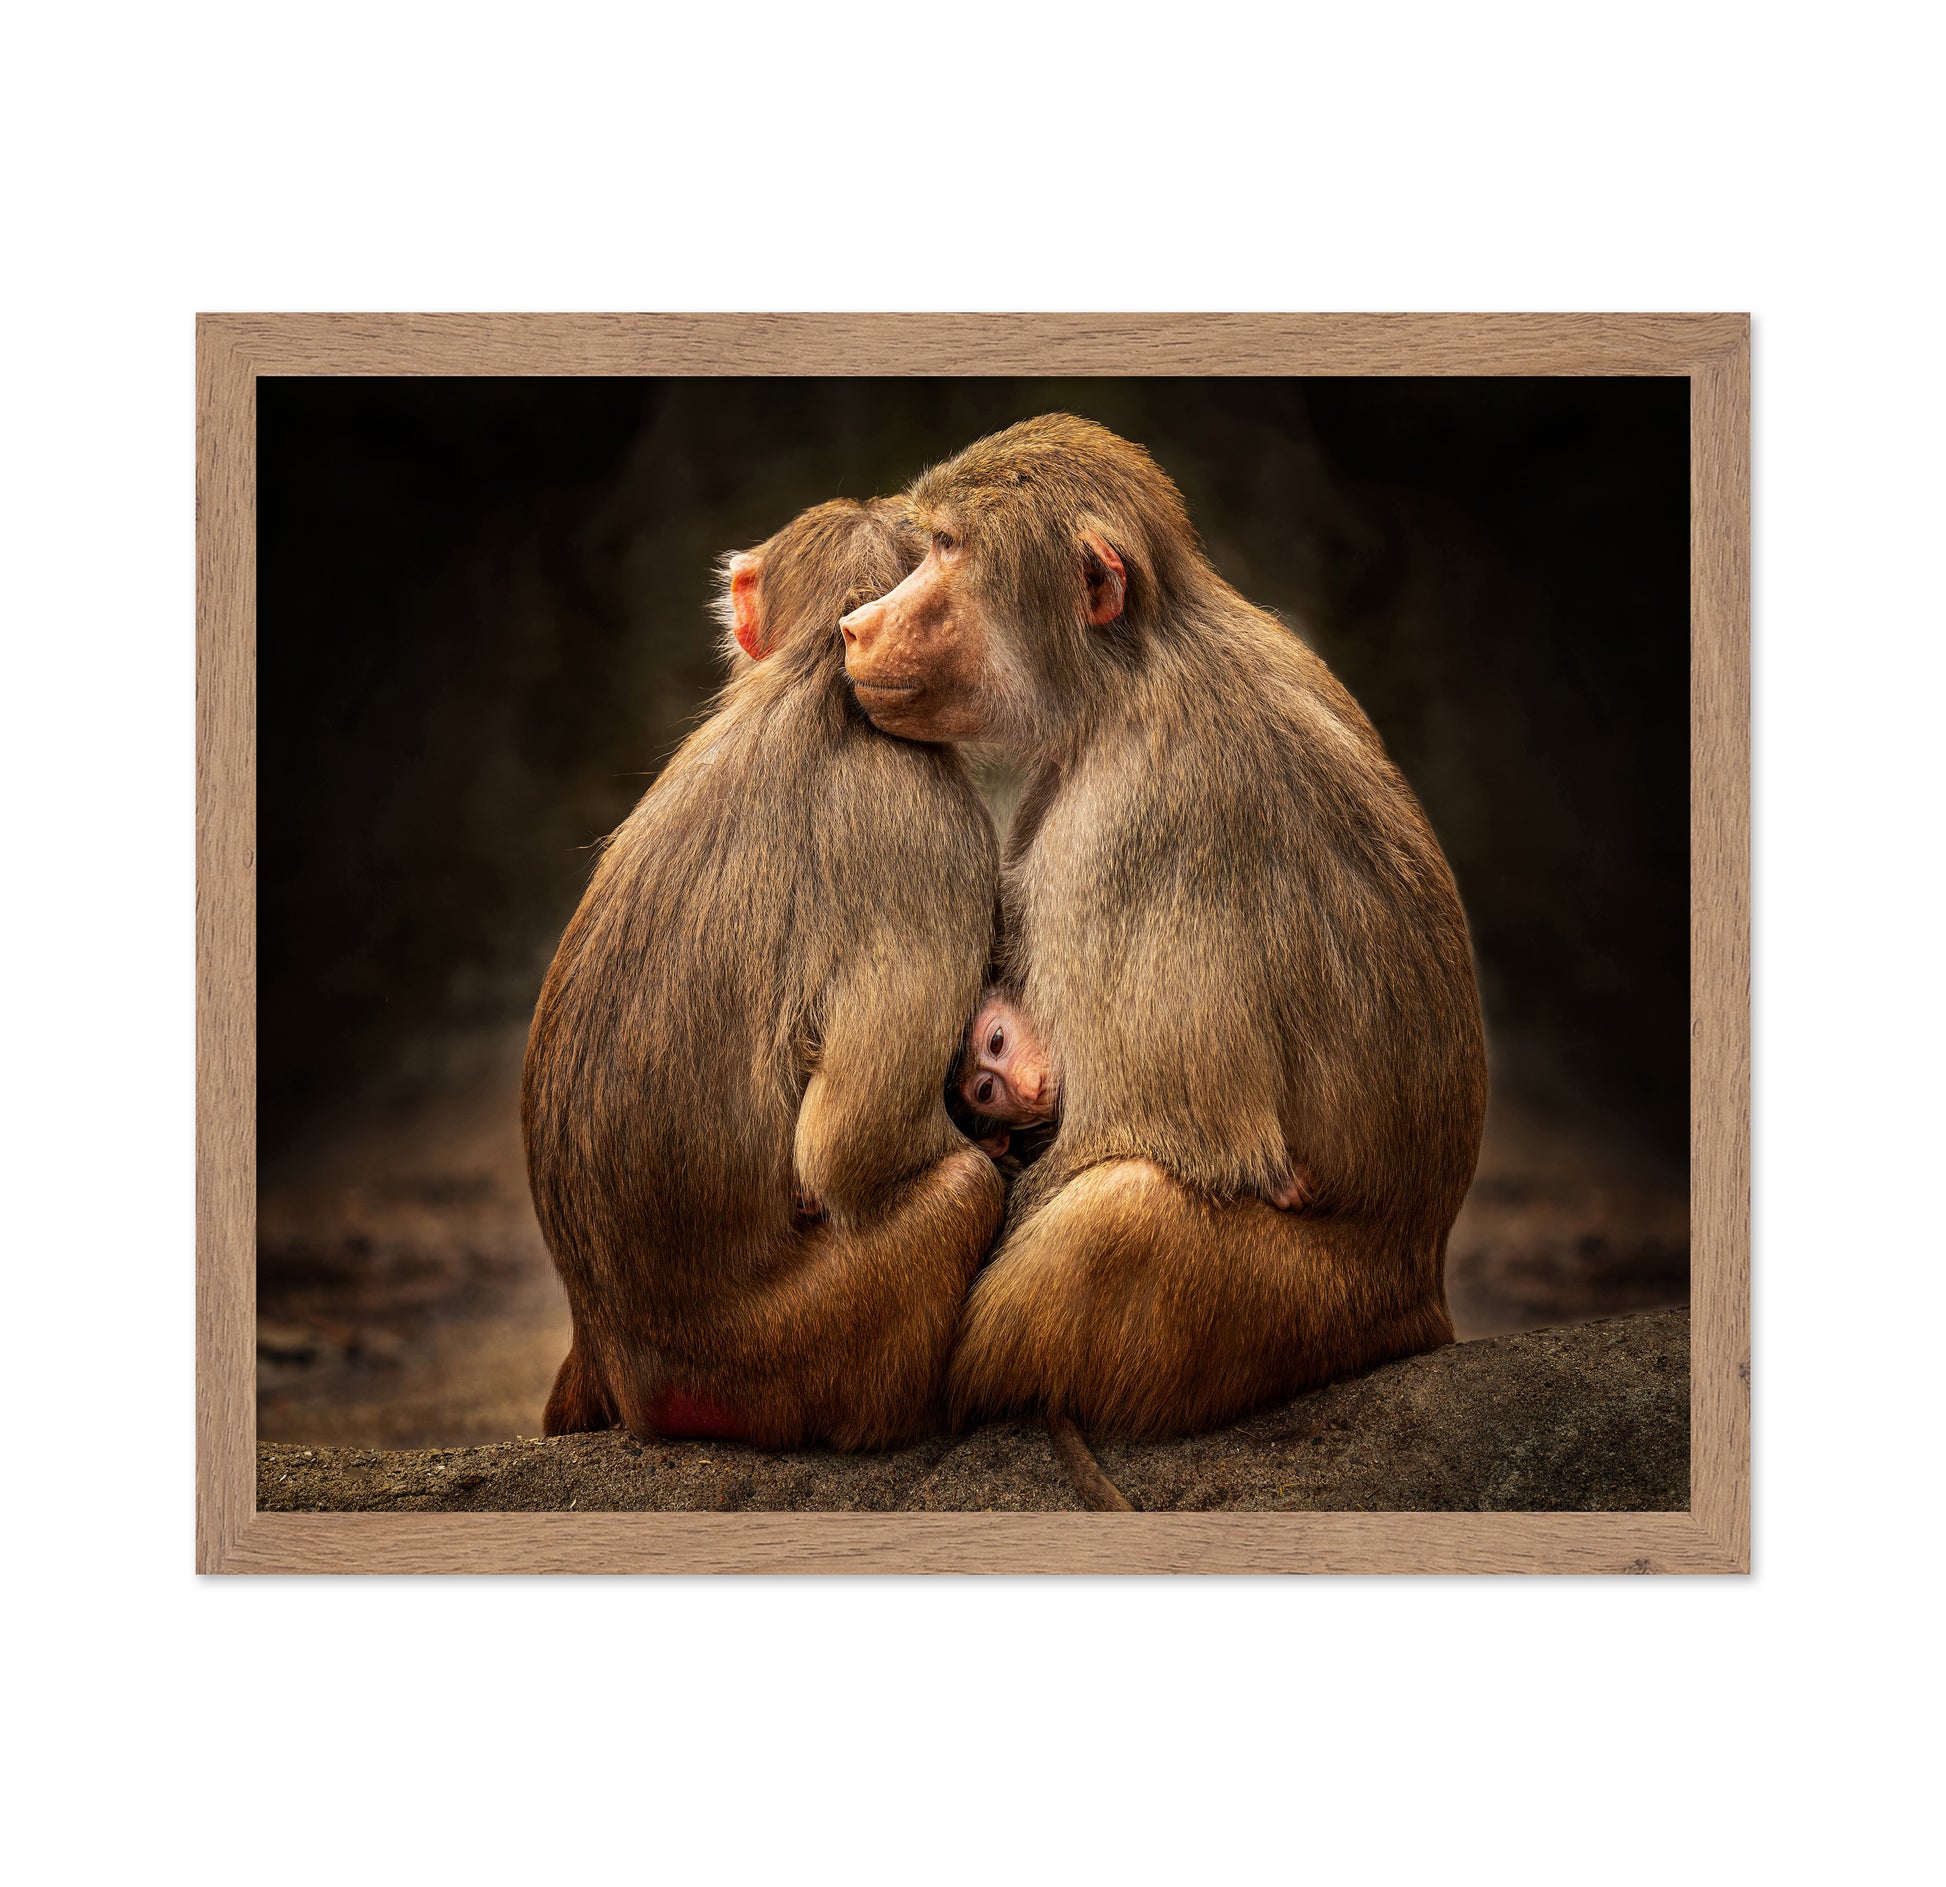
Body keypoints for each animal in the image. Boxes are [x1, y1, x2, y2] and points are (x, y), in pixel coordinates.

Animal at [521, 497, 1005, 1449]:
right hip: (780, 1362)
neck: (819, 675)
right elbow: (853, 1147)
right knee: (962, 1190)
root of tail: (621, 1351)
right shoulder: (935, 832)